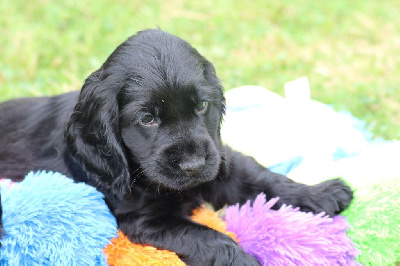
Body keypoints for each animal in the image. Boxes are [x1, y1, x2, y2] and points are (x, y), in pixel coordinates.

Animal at [0, 29, 352, 266]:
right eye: (147, 119)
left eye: (201, 106)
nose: (193, 167)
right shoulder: (146, 220)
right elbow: (208, 237)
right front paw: (243, 259)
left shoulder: (219, 159)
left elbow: (262, 178)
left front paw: (319, 193)